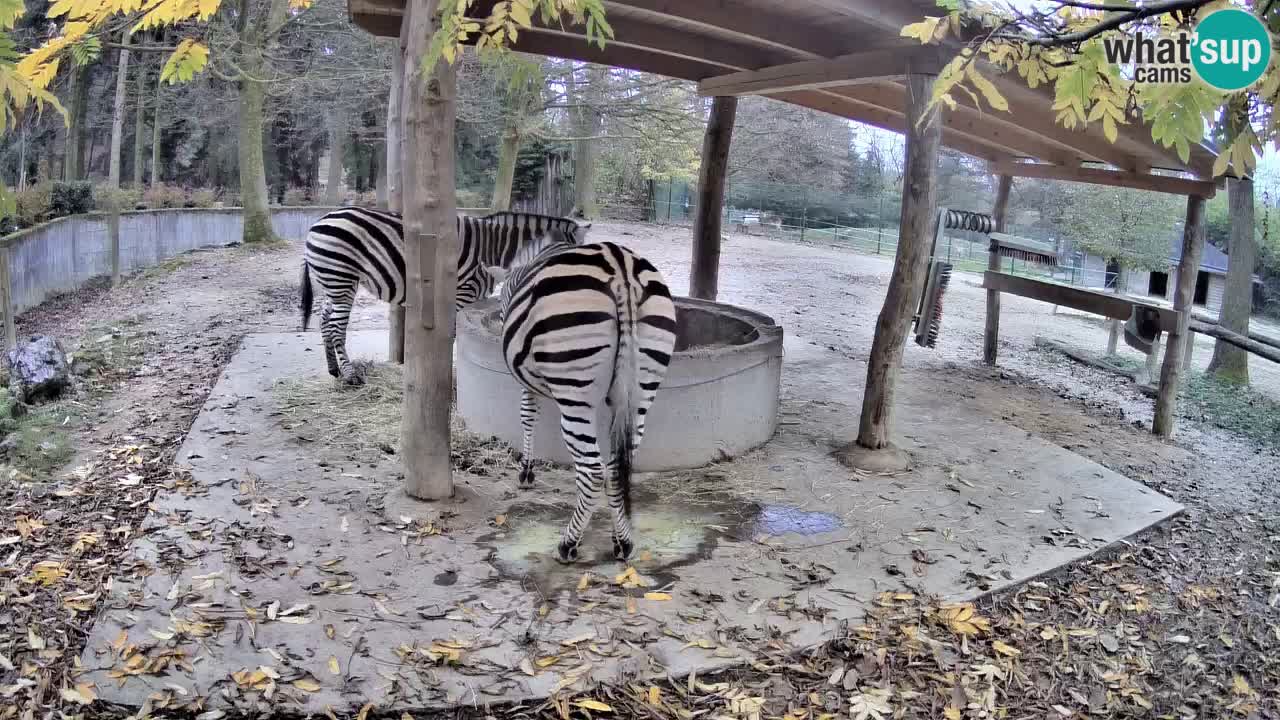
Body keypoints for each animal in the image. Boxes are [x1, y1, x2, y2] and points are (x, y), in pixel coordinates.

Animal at [299, 207, 591, 384]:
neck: (494, 249)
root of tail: (317, 223)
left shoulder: (472, 298)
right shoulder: (461, 292)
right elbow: (452, 335)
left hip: (333, 281)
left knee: (325, 320)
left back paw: (334, 370)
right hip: (341, 278)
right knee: (336, 326)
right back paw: (350, 376)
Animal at [485, 229, 677, 564]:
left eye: (503, 304)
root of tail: (621, 269)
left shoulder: (528, 381)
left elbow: (527, 416)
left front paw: (526, 472)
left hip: (575, 390)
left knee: (593, 470)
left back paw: (569, 544)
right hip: (642, 389)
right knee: (617, 467)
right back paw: (622, 541)